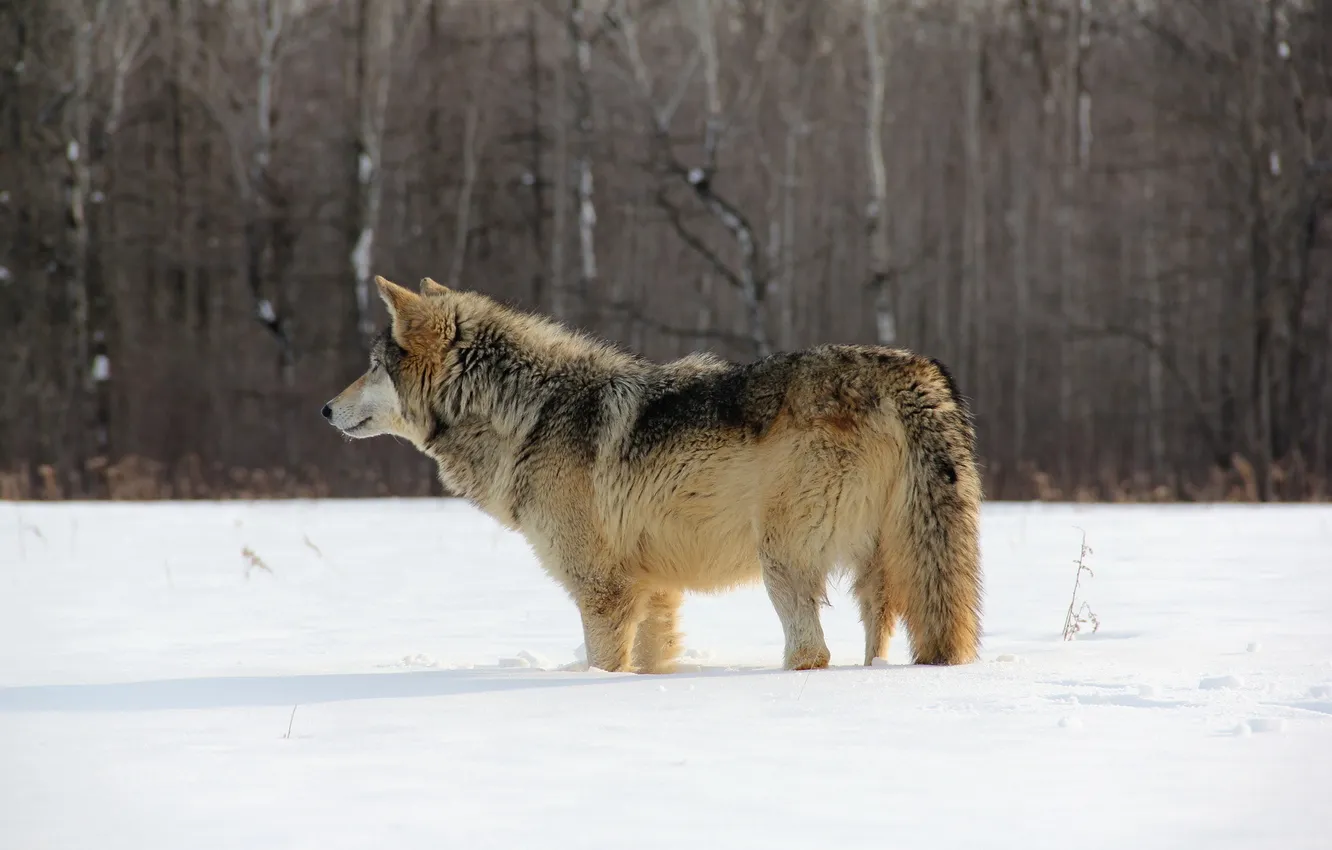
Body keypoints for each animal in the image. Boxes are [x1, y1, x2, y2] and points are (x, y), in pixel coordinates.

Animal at [323, 275, 983, 674]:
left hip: (783, 561)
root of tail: (912, 370)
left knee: (812, 652)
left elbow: (602, 664)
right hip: (885, 572)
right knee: (879, 645)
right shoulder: (655, 590)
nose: (325, 410)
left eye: (373, 366)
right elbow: (648, 661)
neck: (529, 413)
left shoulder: (603, 592)